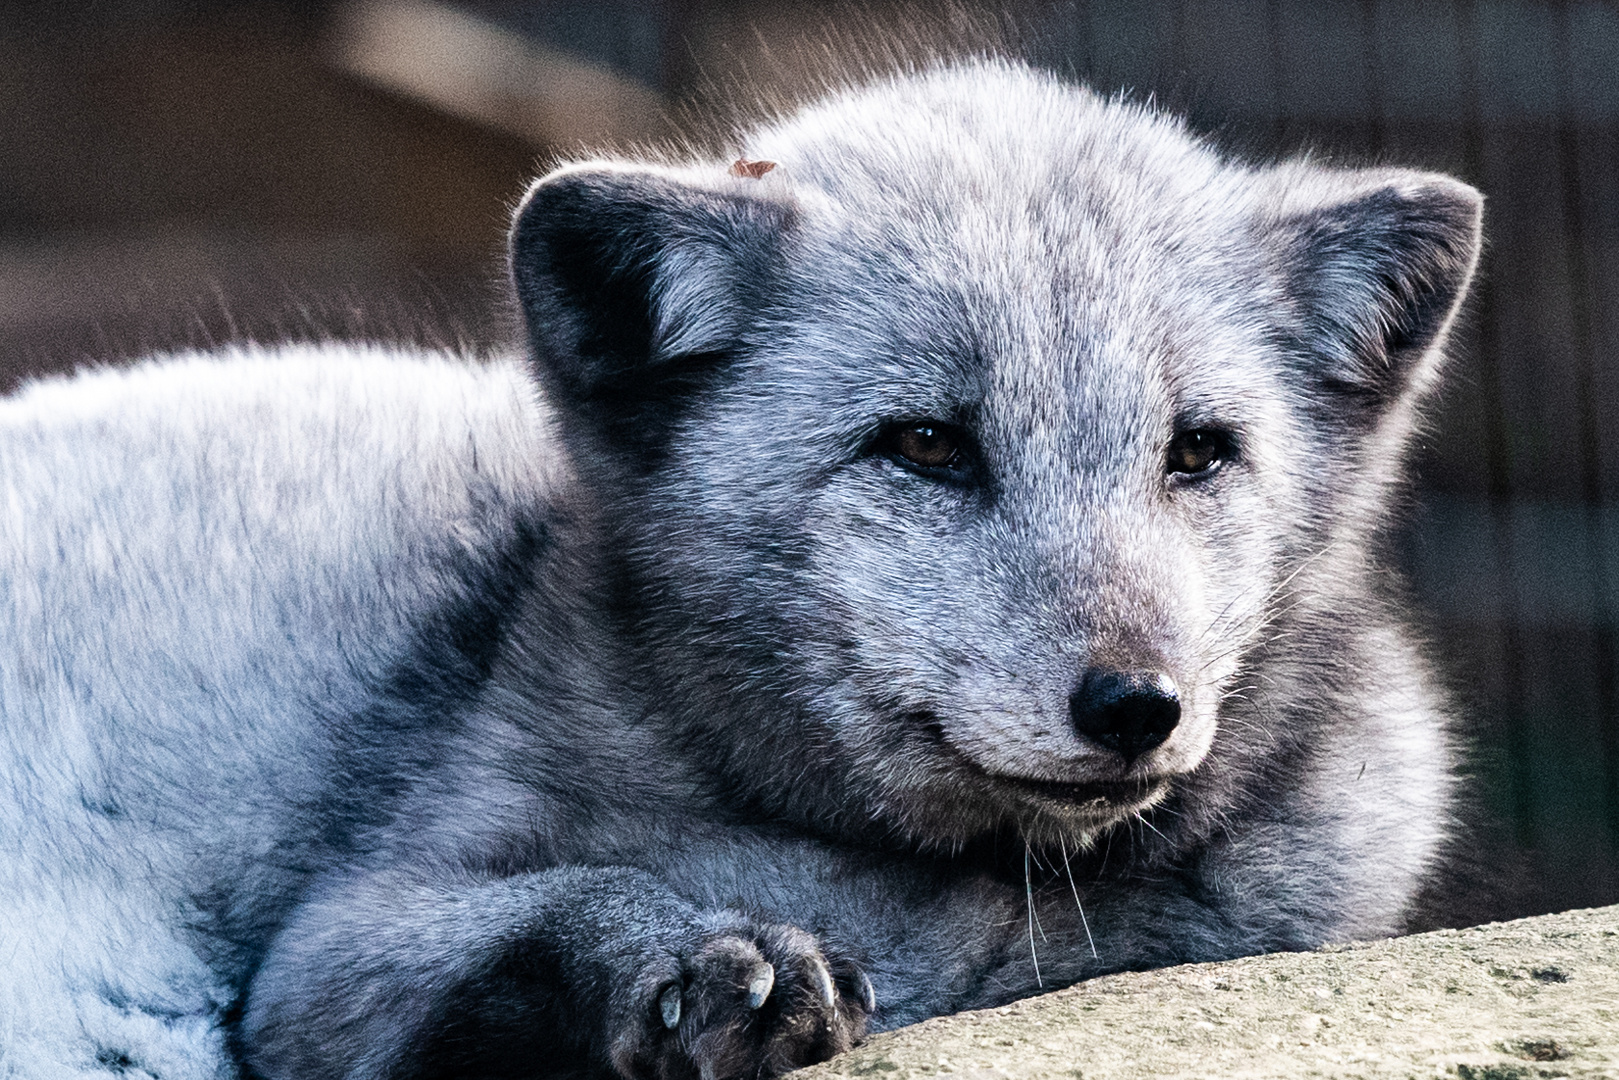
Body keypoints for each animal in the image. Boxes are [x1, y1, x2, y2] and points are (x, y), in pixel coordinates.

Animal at [3, 63, 1483, 1080]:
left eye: (1195, 452)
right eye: (925, 445)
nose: (1134, 705)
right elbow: (536, 913)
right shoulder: (327, 956)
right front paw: (696, 961)